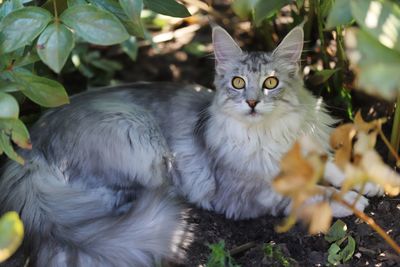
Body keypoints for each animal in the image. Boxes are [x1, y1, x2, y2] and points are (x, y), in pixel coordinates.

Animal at [0, 26, 382, 267]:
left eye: (271, 83)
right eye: (238, 83)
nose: (253, 102)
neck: (267, 134)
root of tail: (29, 147)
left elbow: (332, 164)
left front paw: (370, 182)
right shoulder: (247, 192)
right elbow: (306, 191)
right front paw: (349, 199)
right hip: (137, 136)